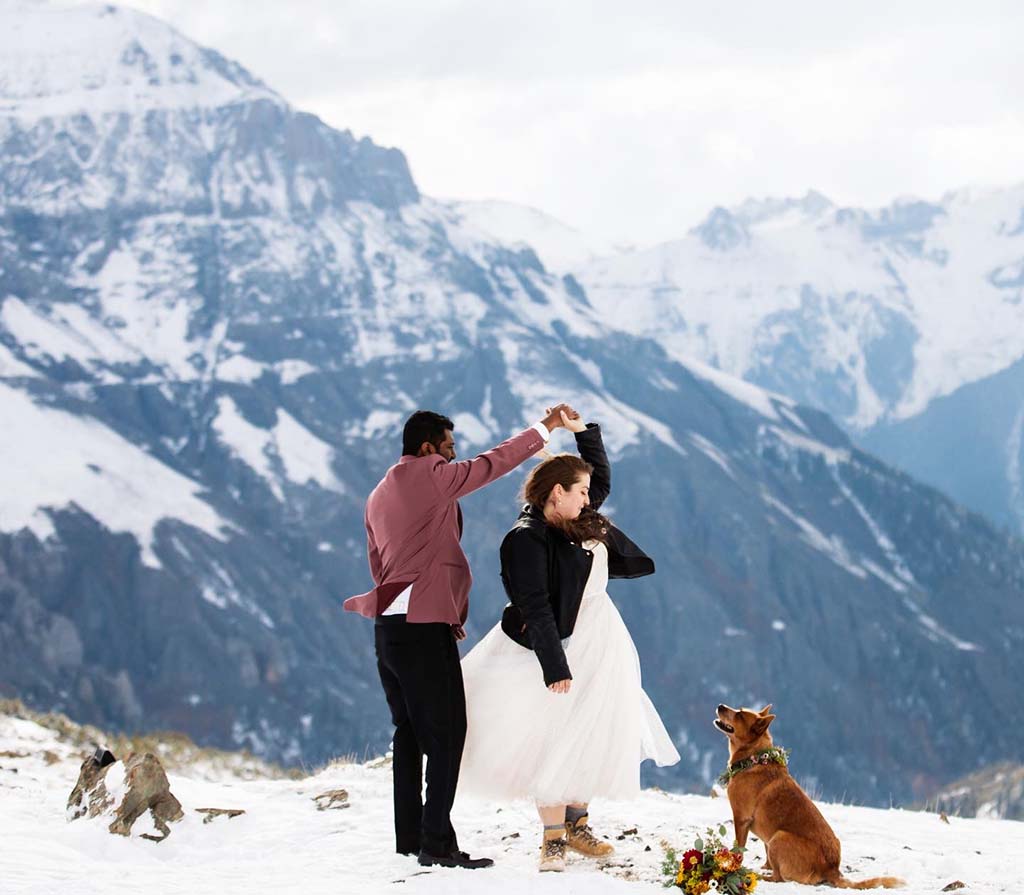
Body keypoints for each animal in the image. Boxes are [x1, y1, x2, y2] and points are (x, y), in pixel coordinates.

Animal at [716, 704, 901, 884]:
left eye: (740, 714)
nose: (720, 706)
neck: (754, 759)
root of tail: (831, 869)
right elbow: (764, 852)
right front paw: (764, 866)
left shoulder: (741, 819)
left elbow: (738, 849)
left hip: (779, 837)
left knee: (779, 878)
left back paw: (758, 876)